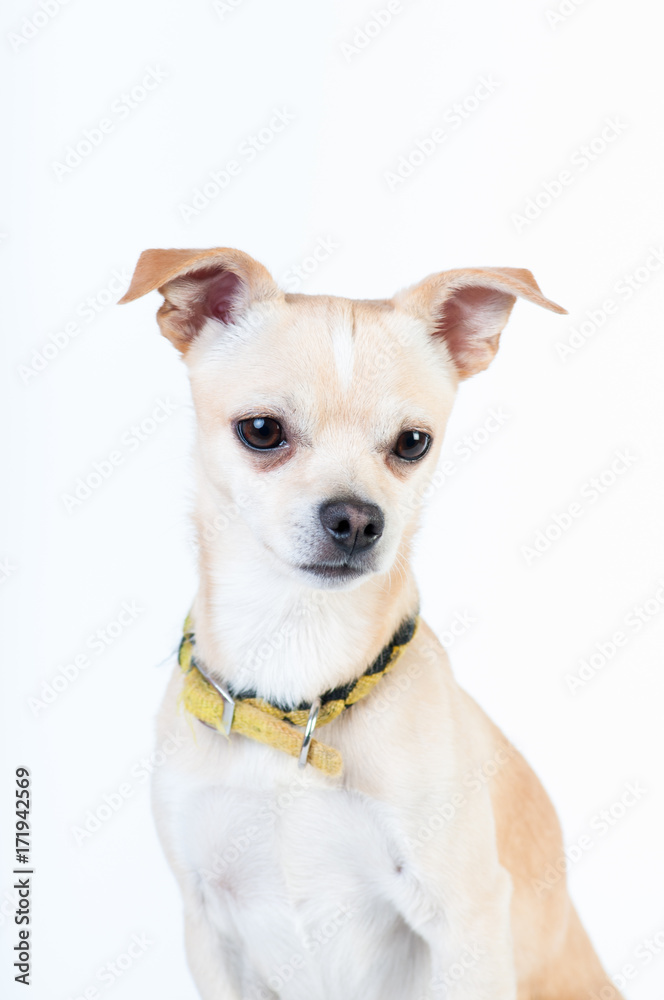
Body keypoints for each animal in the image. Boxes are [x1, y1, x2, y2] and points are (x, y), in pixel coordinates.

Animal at [120, 244, 624, 1000]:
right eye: (261, 432)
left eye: (413, 442)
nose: (357, 519)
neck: (296, 667)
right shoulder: (209, 929)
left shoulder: (465, 919)